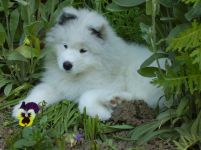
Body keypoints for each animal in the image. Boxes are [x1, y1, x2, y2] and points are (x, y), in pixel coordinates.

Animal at [12, 7, 163, 120]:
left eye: (83, 51)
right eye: (65, 46)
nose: (67, 65)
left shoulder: (111, 84)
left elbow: (86, 96)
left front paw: (101, 113)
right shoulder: (57, 85)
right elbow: (40, 91)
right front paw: (22, 109)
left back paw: (116, 99)